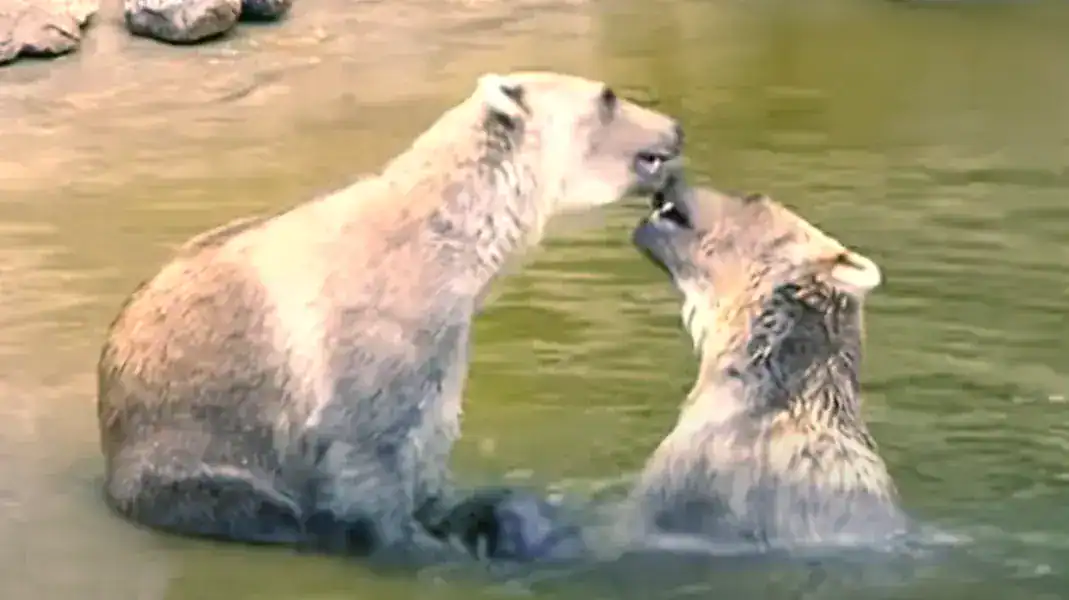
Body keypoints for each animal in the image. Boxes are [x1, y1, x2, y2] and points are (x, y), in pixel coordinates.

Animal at [96, 70, 685, 558]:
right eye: (608, 96)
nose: (675, 128)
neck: (463, 249)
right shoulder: (377, 325)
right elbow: (365, 450)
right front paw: (419, 542)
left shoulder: (448, 341)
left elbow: (429, 444)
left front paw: (488, 516)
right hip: (191, 440)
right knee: (247, 499)